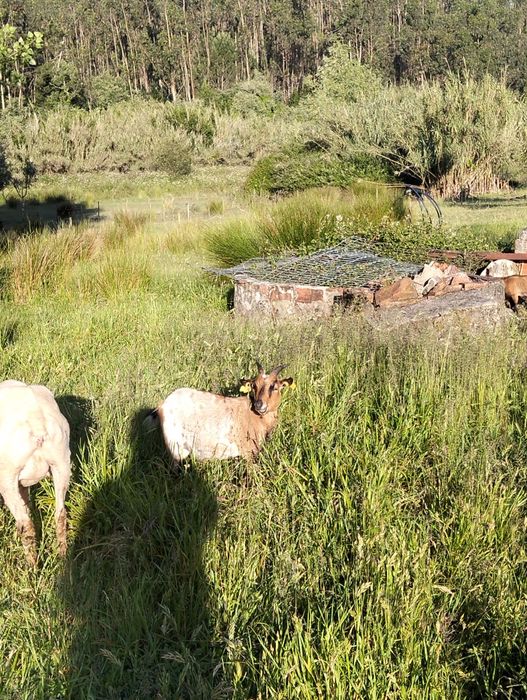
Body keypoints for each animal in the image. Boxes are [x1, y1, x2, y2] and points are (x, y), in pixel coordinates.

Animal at [0, 380, 70, 565]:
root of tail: (37, 421)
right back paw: (63, 557)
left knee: (26, 524)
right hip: (62, 463)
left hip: (7, 476)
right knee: (60, 513)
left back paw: (32, 566)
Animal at [150, 363, 294, 461]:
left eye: (274, 387)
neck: (255, 417)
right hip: (175, 446)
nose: (258, 404)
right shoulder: (249, 451)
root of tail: (163, 404)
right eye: (254, 385)